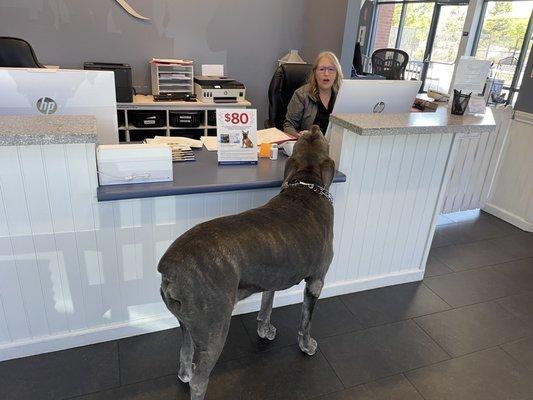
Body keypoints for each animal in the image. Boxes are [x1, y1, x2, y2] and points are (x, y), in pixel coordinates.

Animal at [157, 126, 332, 400]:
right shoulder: (316, 281)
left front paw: (264, 330)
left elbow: (266, 306)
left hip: (186, 324)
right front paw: (306, 345)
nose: (312, 128)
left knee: (185, 353)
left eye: (308, 138)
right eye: (322, 139)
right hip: (215, 329)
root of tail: (171, 266)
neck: (307, 184)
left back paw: (184, 373)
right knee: (199, 381)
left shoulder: (272, 276)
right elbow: (306, 320)